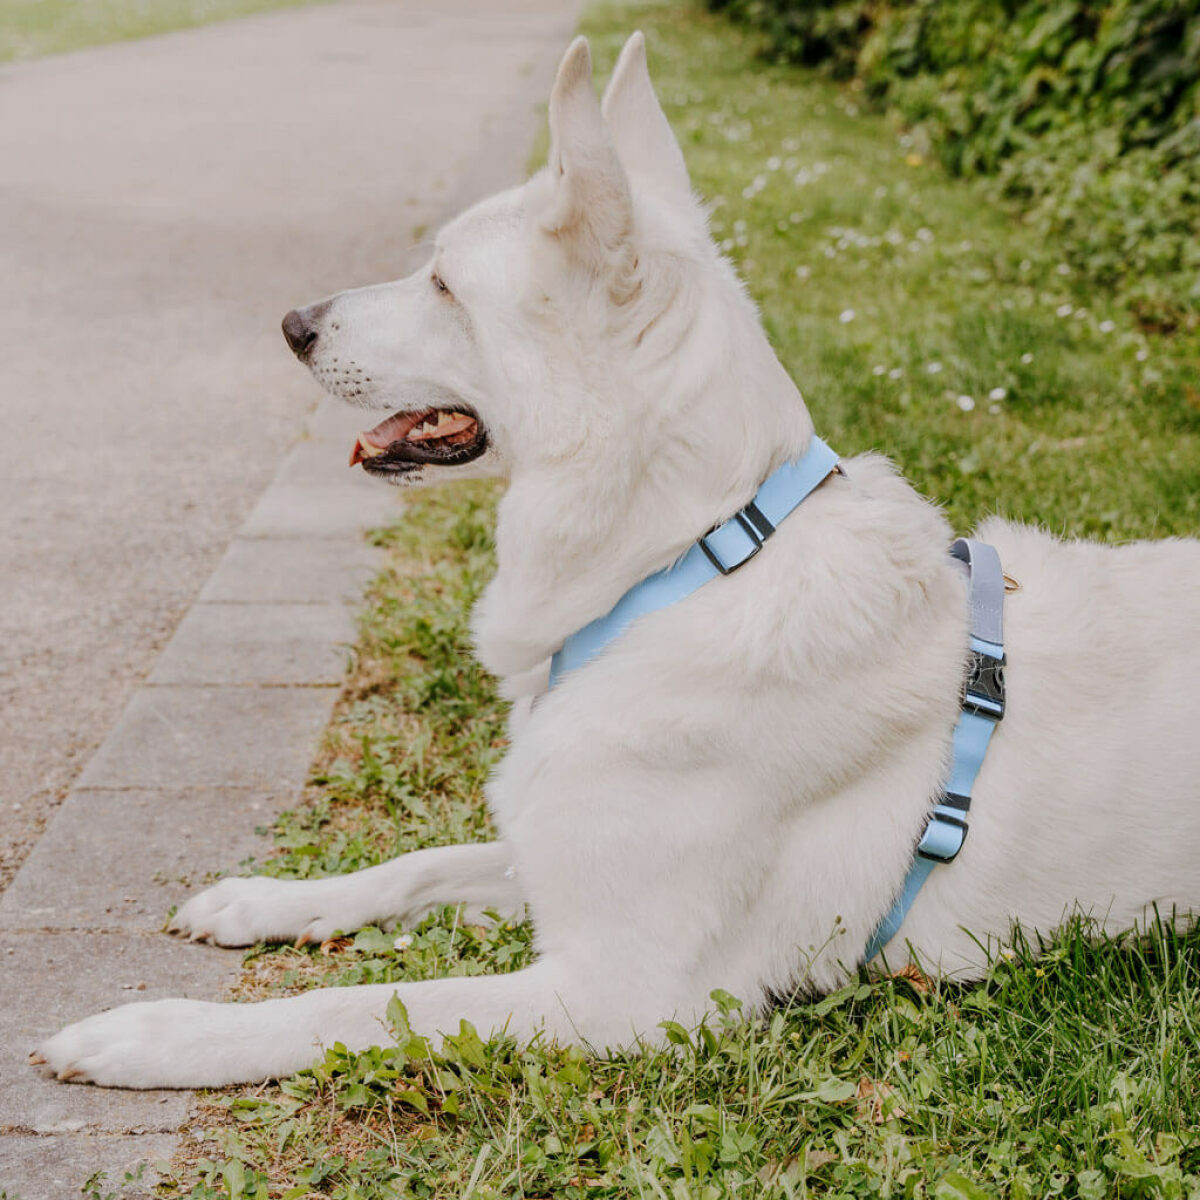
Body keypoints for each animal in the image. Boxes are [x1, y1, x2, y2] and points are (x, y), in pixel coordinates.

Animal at [35, 35, 1200, 1089]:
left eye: (445, 285)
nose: (293, 323)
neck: (690, 566)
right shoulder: (550, 864)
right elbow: (418, 865)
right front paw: (270, 900)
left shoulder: (620, 993)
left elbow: (366, 1004)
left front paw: (160, 1035)